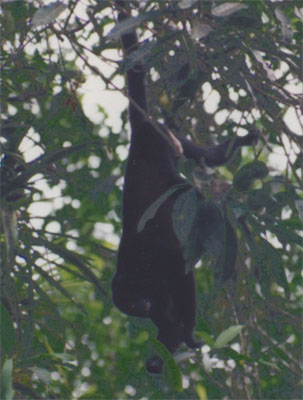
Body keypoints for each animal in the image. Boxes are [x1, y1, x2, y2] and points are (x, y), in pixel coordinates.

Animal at [110, 1, 258, 374]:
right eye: (132, 308)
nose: (143, 308)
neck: (135, 270)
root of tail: (138, 134)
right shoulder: (154, 286)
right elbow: (167, 313)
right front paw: (167, 344)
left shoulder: (158, 261)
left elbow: (181, 274)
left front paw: (184, 334)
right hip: (167, 137)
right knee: (194, 151)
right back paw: (226, 149)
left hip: (159, 136)